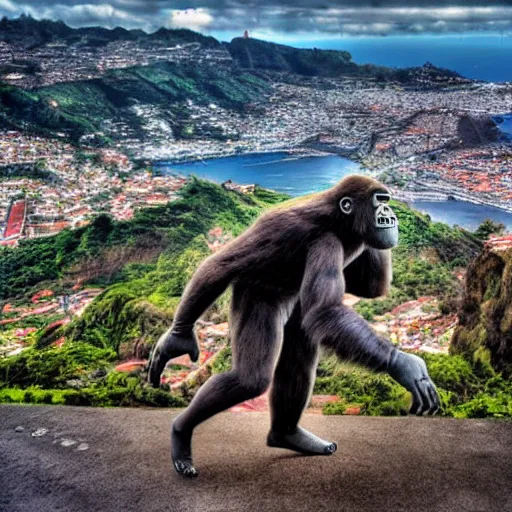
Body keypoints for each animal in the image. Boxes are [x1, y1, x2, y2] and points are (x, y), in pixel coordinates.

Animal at [147, 175, 440, 476]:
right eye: (379, 202)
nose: (389, 213)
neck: (341, 222)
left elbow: (369, 288)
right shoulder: (323, 242)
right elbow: (223, 267)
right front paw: (403, 364)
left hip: (290, 304)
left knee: (299, 350)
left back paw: (287, 435)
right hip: (254, 295)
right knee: (250, 377)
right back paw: (181, 432)